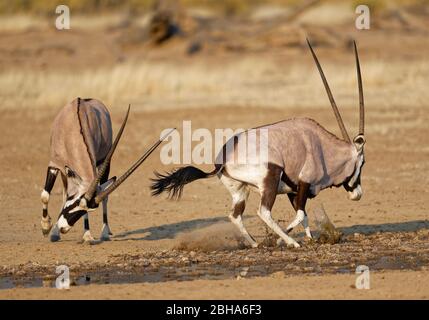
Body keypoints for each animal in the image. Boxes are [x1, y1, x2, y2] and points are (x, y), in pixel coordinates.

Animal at [41, 97, 171, 242]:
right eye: (76, 202)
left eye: (85, 209)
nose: (64, 228)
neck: (73, 130)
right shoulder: (54, 165)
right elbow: (46, 195)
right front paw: (46, 227)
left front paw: (87, 235)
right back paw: (54, 231)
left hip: (104, 164)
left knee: (105, 196)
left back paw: (104, 232)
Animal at [150, 40, 364, 249]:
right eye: (362, 163)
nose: (358, 194)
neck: (322, 147)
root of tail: (223, 159)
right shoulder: (304, 183)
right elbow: (300, 214)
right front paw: (283, 239)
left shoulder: (293, 191)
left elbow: (304, 215)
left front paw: (309, 238)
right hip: (270, 179)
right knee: (263, 212)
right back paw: (290, 242)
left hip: (240, 190)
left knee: (235, 215)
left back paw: (255, 243)